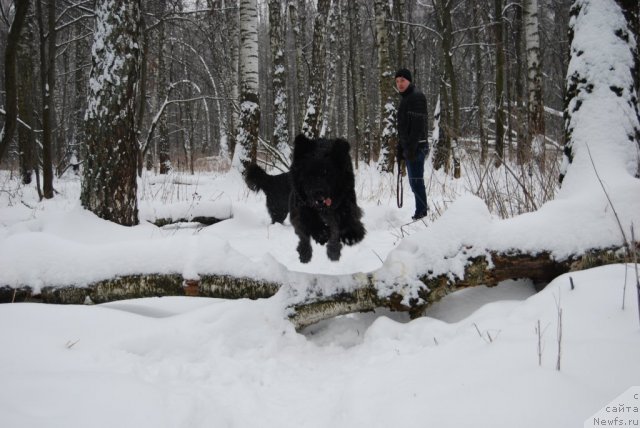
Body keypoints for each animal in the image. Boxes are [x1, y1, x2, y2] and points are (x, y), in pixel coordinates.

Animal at [288, 134, 364, 262]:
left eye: (328, 174)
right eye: (309, 174)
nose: (319, 193)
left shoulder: (346, 197)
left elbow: (347, 212)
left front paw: (350, 233)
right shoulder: (301, 204)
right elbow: (308, 216)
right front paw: (321, 233)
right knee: (303, 236)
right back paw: (305, 253)